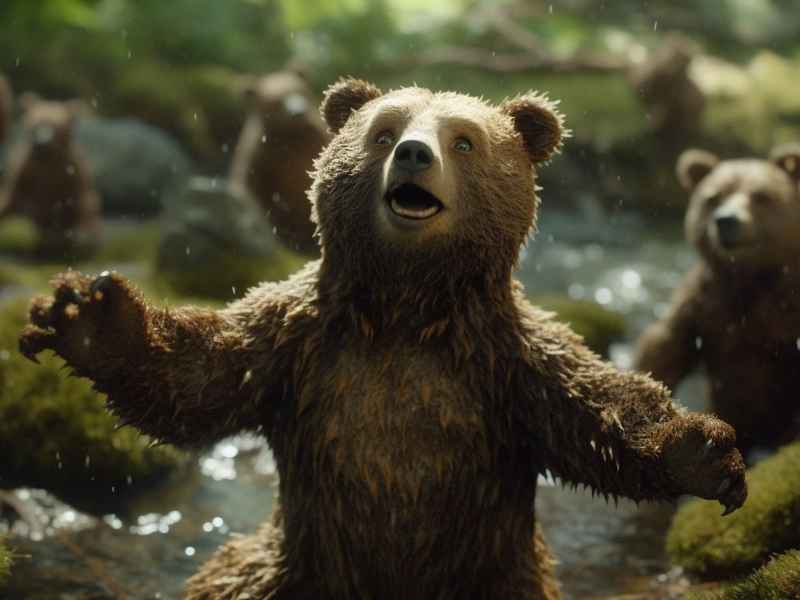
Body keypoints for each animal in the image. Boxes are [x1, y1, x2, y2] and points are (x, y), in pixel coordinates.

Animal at [0, 93, 101, 257]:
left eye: (56, 126)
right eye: (34, 125)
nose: (42, 142)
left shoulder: (71, 173)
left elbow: (84, 202)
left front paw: (83, 239)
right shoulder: (26, 172)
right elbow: (11, 198)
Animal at [635, 144, 800, 458]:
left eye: (761, 195)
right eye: (713, 197)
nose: (726, 220)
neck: (749, 277)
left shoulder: (783, 314)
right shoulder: (704, 306)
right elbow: (666, 346)